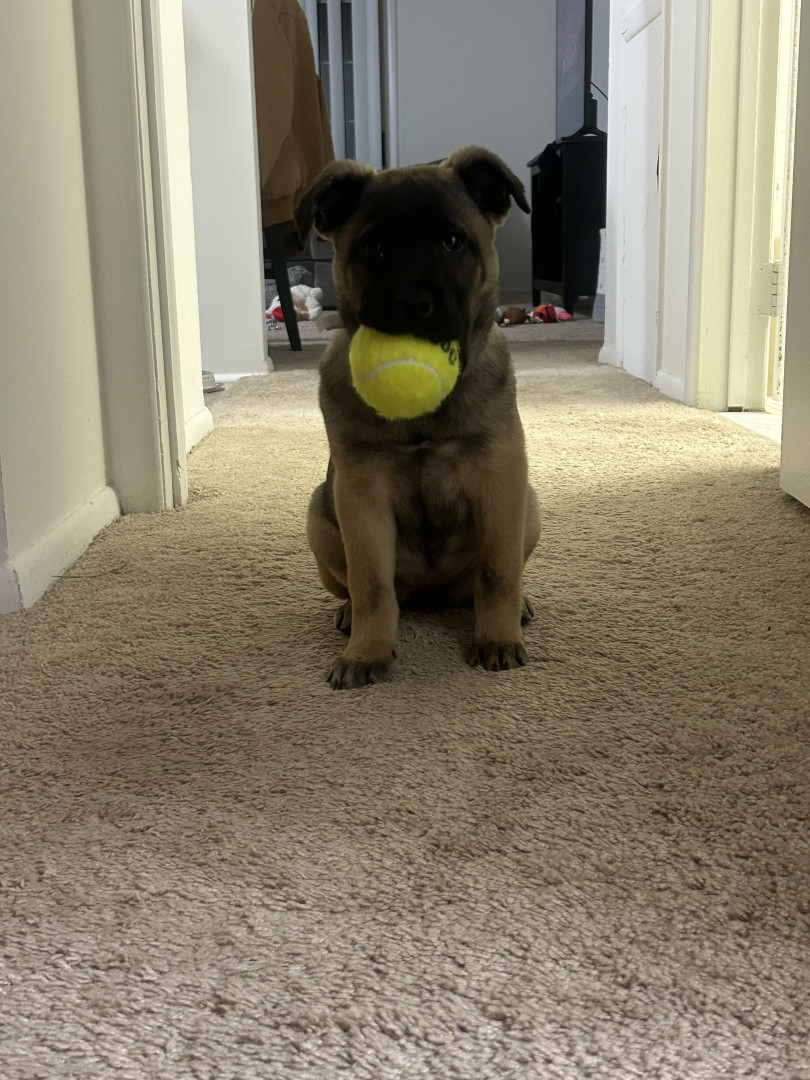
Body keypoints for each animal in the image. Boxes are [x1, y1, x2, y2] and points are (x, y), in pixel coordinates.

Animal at [295, 146, 540, 689]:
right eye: (373, 247)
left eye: (453, 241)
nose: (413, 305)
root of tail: (432, 594)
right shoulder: (360, 492)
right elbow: (371, 583)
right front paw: (367, 650)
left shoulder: (500, 479)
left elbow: (498, 573)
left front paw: (497, 637)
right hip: (320, 516)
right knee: (359, 587)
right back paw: (350, 616)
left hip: (529, 508)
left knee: (488, 579)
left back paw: (517, 607)